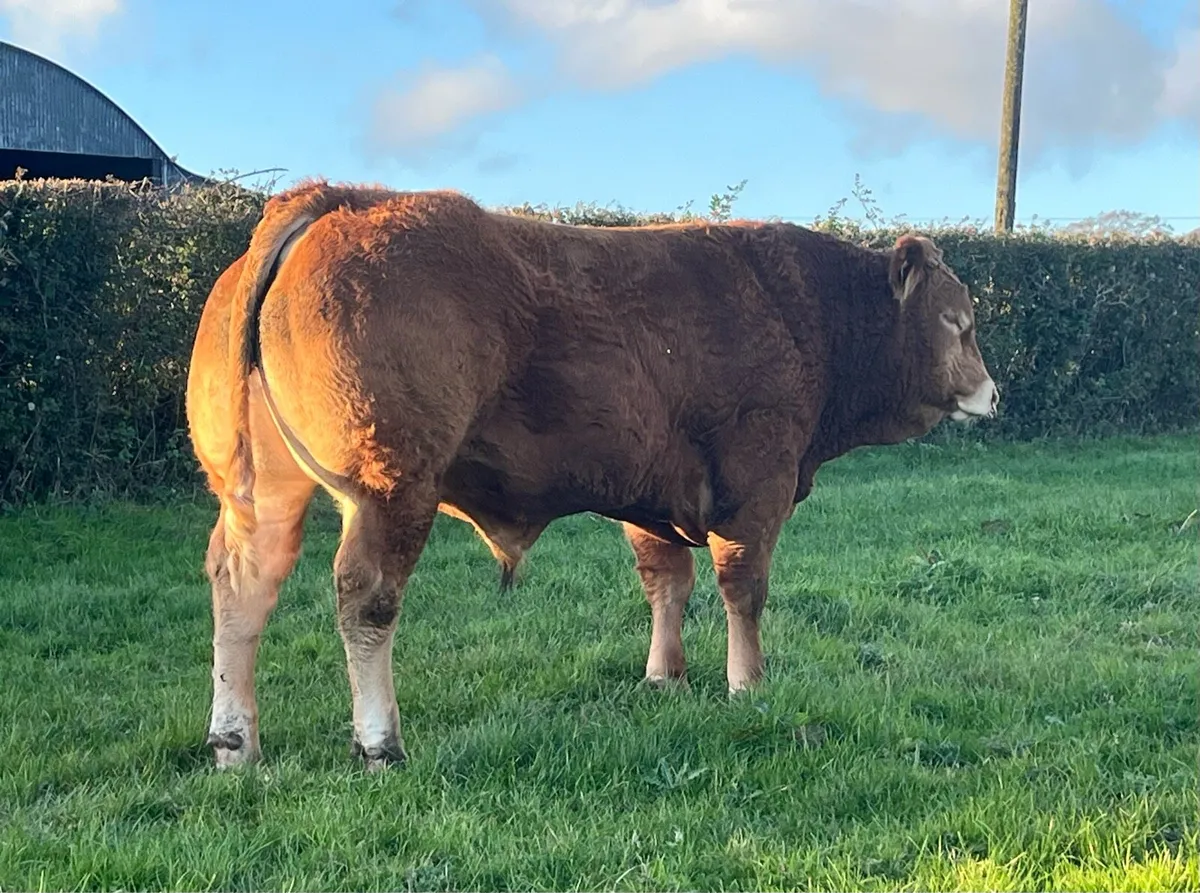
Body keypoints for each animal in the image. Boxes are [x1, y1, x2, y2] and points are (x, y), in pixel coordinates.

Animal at [185, 180, 997, 770]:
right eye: (956, 321)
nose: (991, 392)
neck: (810, 314)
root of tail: (336, 198)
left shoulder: (654, 494)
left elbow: (668, 582)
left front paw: (665, 676)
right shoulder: (754, 486)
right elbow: (744, 591)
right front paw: (748, 686)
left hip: (260, 486)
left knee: (242, 583)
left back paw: (235, 743)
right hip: (391, 486)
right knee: (366, 597)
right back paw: (379, 742)